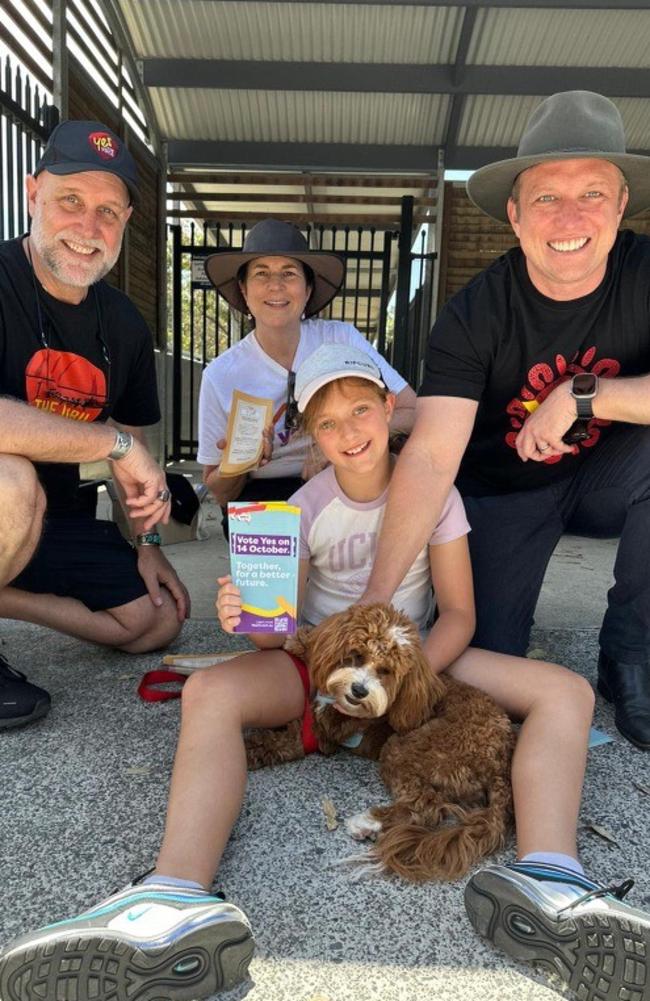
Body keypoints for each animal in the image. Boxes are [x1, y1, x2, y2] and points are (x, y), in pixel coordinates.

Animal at [243, 596, 516, 880]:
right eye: (357, 655)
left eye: (386, 671)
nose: (359, 690)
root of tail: (501, 762)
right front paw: (300, 640)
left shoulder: (317, 732)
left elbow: (269, 743)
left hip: (406, 748)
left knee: (426, 807)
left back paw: (368, 823)